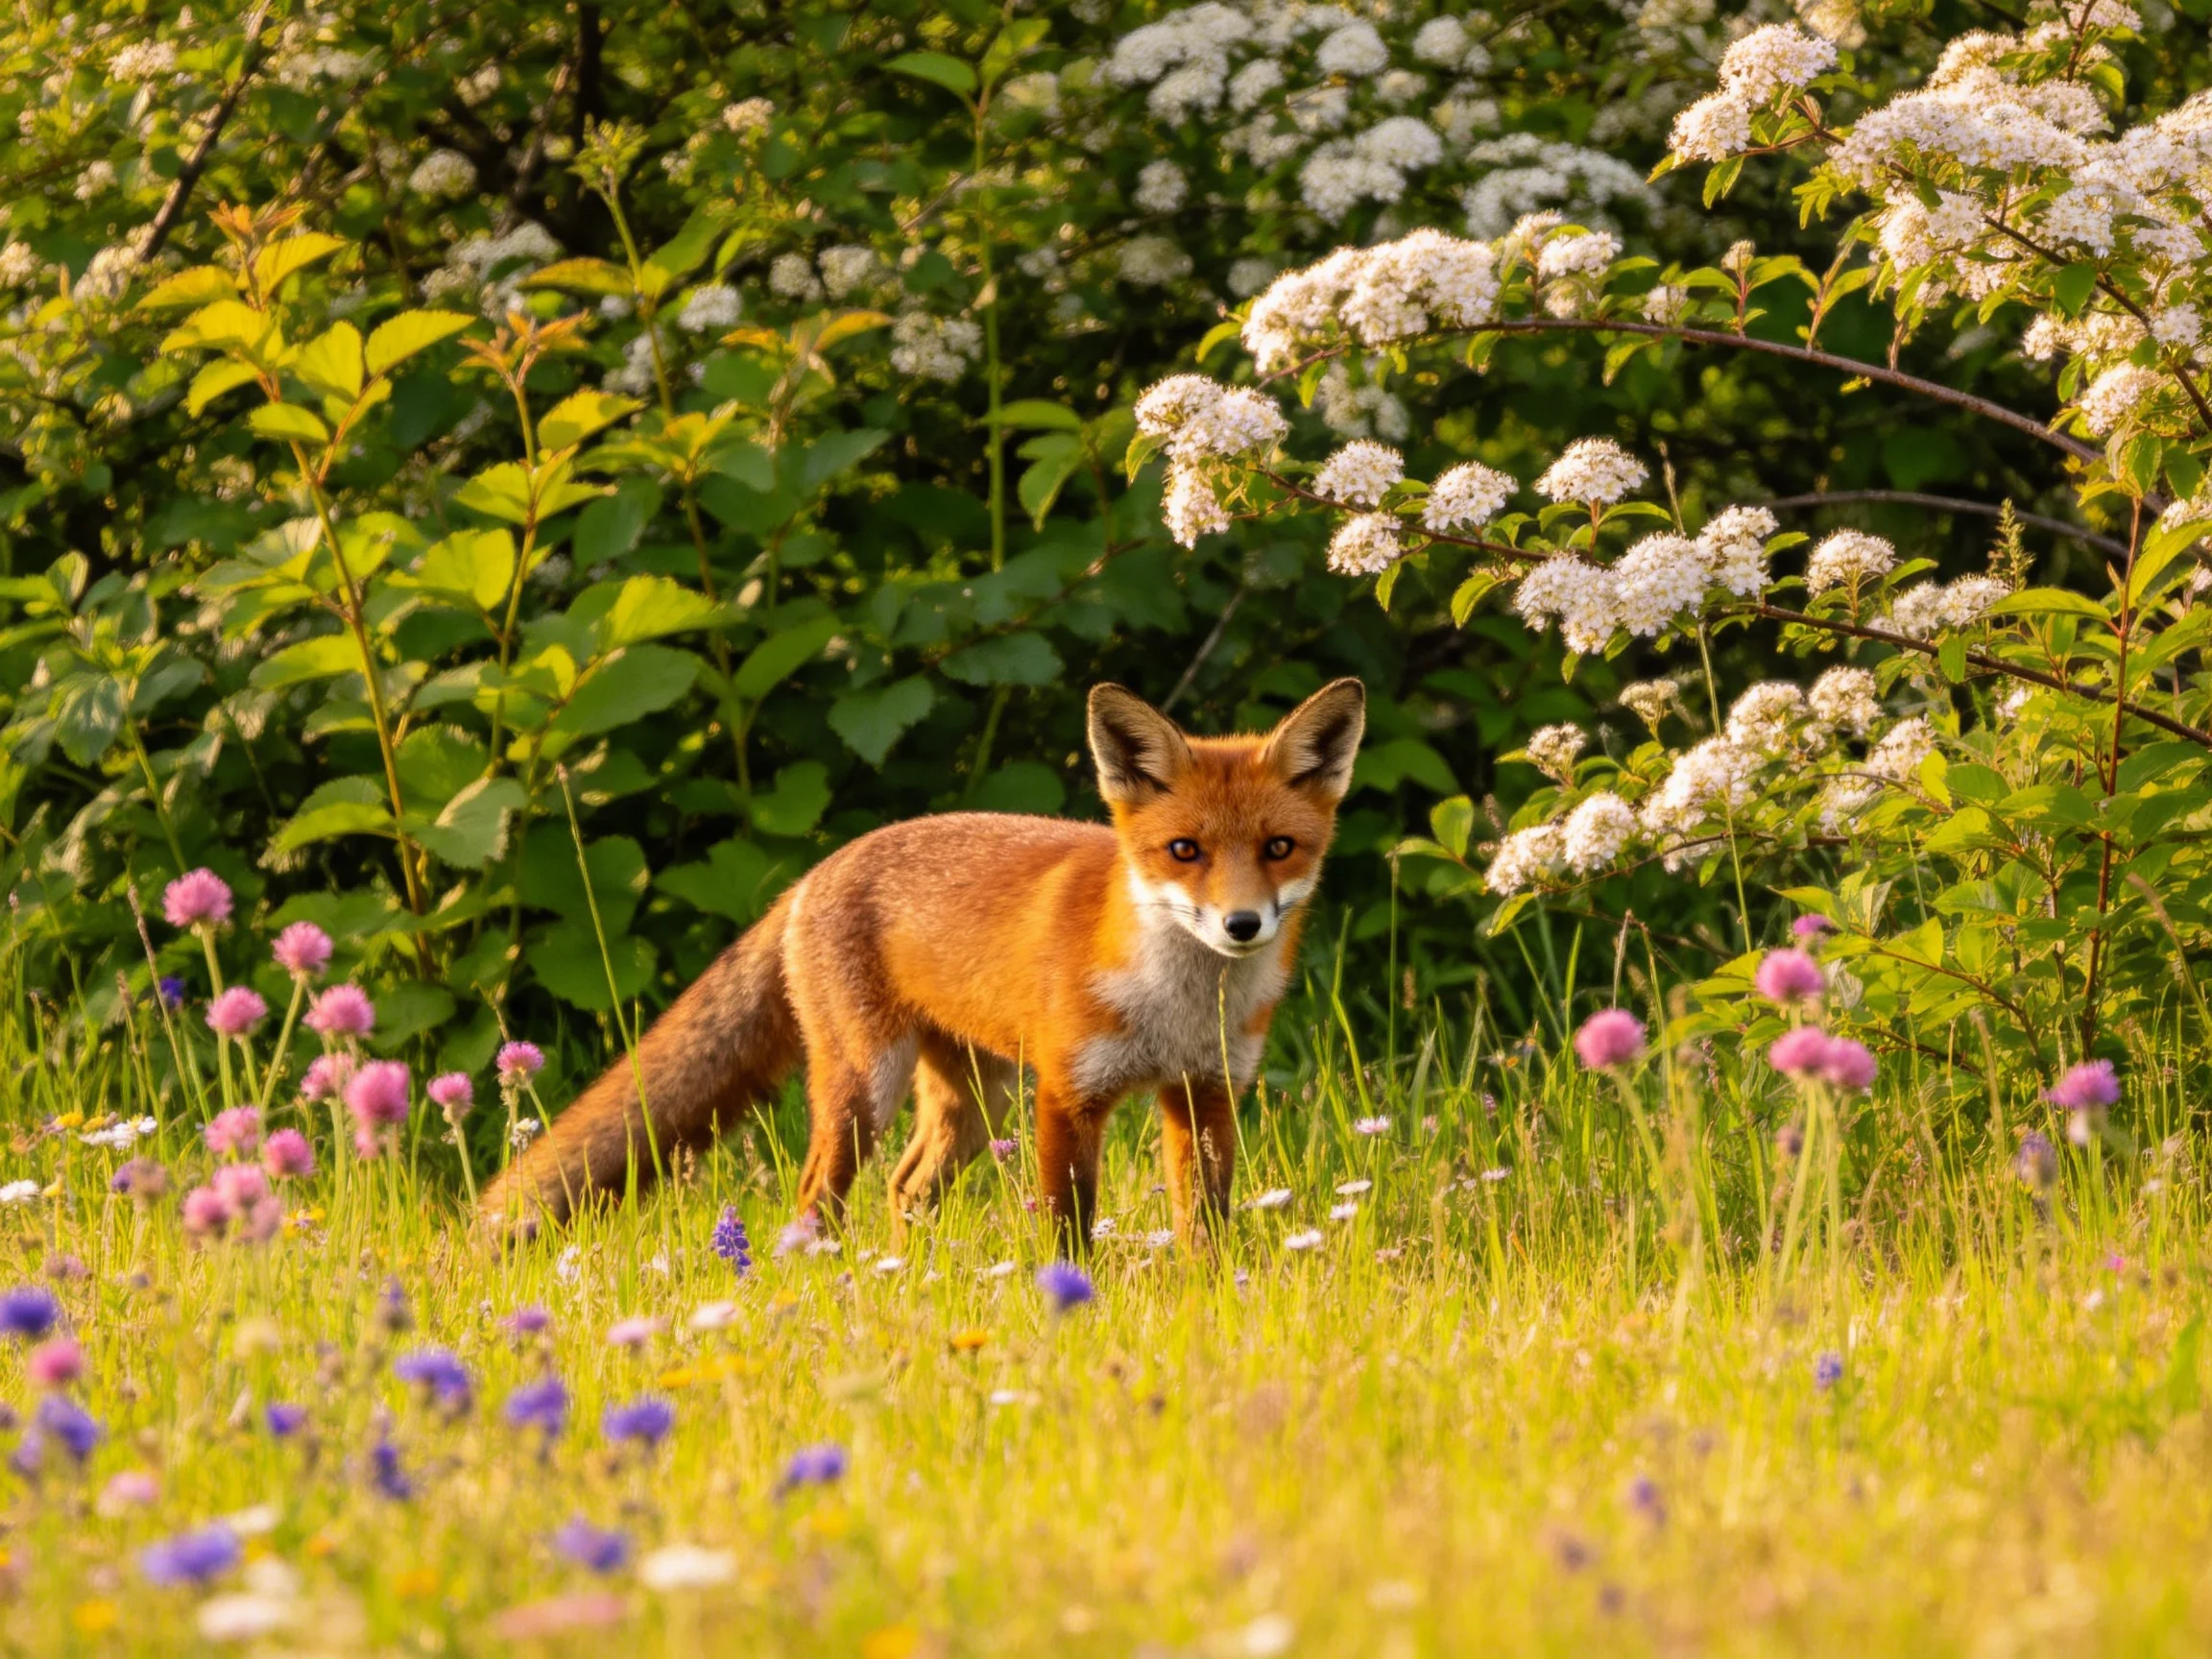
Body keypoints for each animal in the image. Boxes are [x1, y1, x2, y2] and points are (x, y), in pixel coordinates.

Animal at [479, 676, 1366, 1252]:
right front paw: (1072, 1306)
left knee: (904, 1189)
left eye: (1278, 848)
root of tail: (814, 872)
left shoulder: (1206, 1092)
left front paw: (1208, 1298)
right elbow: (1068, 1229)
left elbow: (1205, 1228)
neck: (1175, 1005)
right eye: (1185, 851)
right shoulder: (1068, 1095)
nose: (1242, 924)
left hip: (975, 1105)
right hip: (865, 1090)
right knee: (817, 1199)